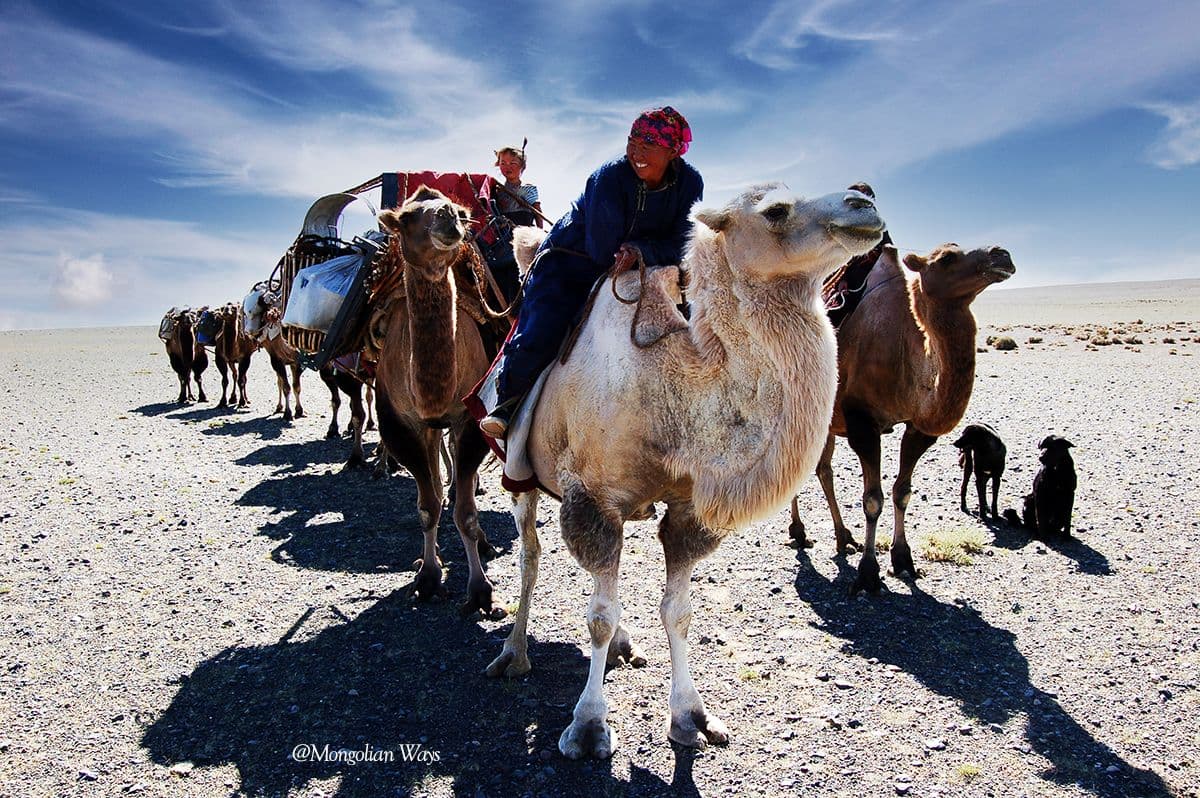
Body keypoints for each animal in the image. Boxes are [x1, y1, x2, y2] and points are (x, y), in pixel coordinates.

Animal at [373, 187, 505, 614]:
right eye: (407, 216)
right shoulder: (401, 425)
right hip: (425, 431)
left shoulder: (471, 421)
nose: (448, 215)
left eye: (462, 212)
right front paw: (428, 577)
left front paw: (480, 590)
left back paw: (483, 542)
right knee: (433, 474)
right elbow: (427, 507)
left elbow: (465, 513)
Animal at [485, 184, 885, 759]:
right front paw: (587, 726)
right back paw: (513, 652)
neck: (672, 389)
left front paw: (692, 717)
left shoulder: (687, 506)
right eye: (775, 210)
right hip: (520, 471)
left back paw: (623, 646)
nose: (863, 201)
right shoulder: (592, 497)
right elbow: (597, 616)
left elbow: (677, 611)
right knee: (531, 556)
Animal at [786, 243, 1015, 595]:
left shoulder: (918, 427)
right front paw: (868, 573)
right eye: (947, 258)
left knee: (823, 469)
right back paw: (798, 532)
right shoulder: (862, 422)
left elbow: (902, 491)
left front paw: (903, 559)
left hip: (828, 422)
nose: (1001, 255)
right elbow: (872, 500)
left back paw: (843, 537)